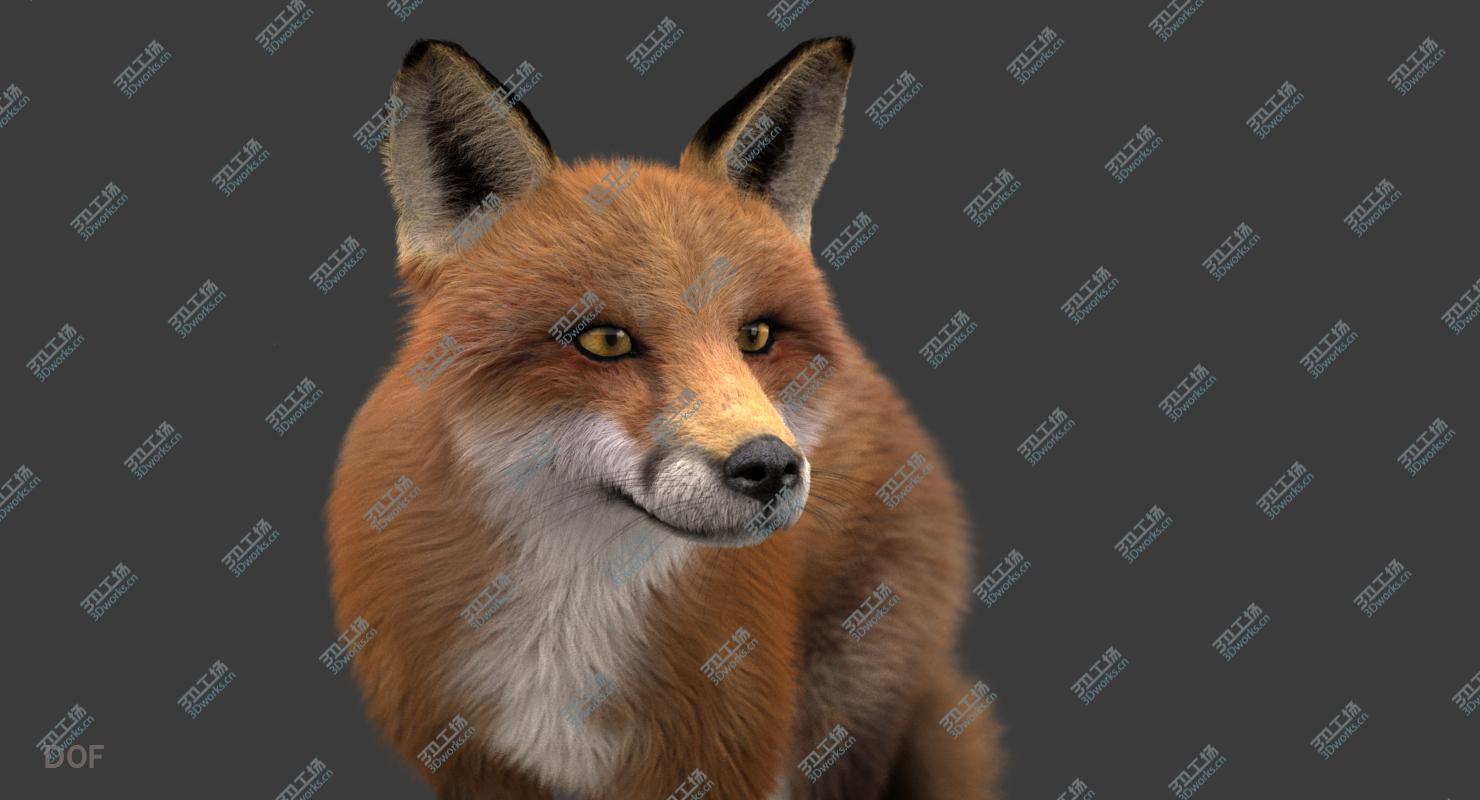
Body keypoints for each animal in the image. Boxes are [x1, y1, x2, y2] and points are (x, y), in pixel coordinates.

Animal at [325, 37, 1004, 799]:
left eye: (755, 336)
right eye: (604, 341)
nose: (771, 465)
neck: (564, 641)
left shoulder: (722, 756)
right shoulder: (474, 764)